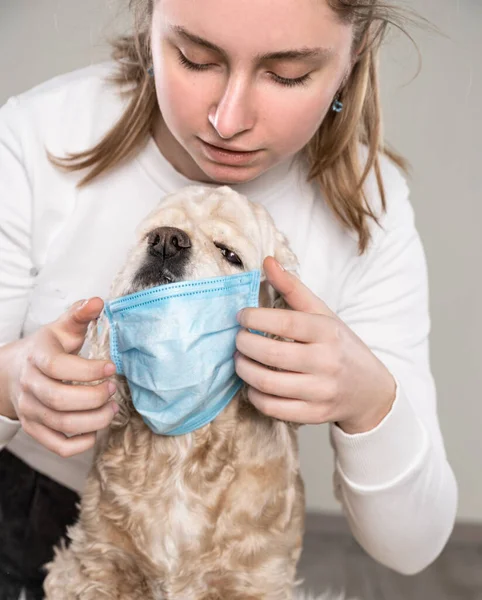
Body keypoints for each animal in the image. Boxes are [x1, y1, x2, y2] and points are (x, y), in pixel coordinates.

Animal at [43, 186, 346, 600]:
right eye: (151, 232)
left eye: (229, 253)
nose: (166, 240)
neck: (181, 447)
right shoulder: (98, 560)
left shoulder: (256, 578)